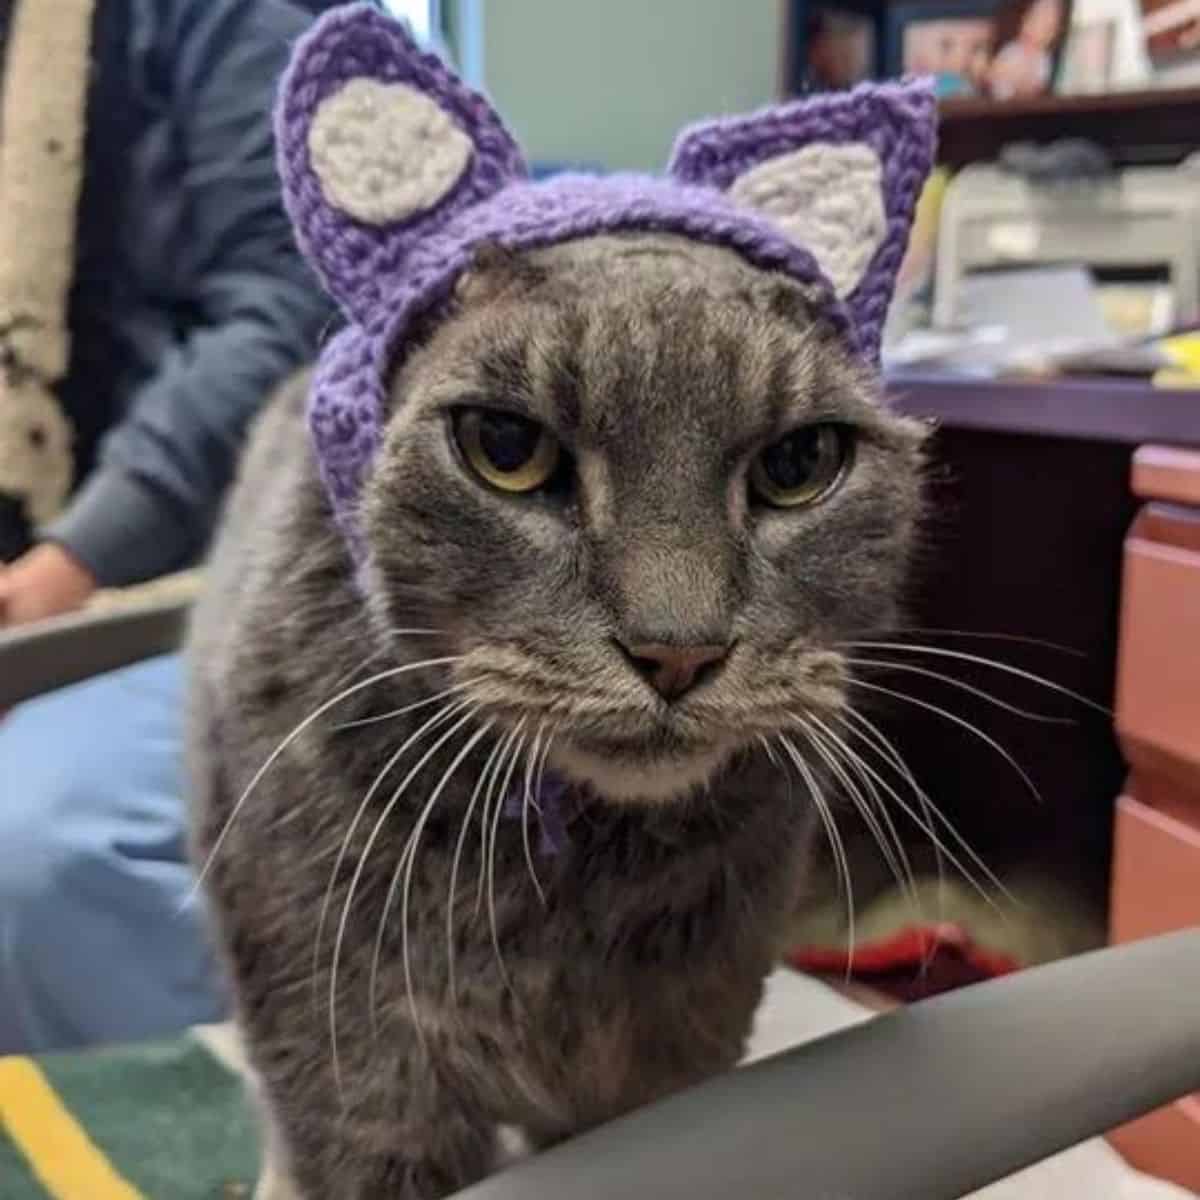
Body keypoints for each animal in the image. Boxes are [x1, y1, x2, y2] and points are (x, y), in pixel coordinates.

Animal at [187, 4, 936, 1195]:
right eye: (507, 448)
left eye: (799, 463)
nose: (676, 650)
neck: (557, 904)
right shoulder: (356, 1077)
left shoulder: (675, 1063)